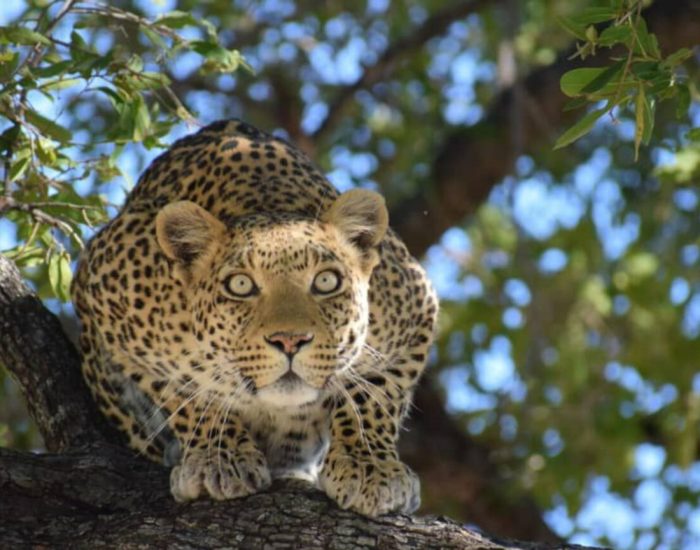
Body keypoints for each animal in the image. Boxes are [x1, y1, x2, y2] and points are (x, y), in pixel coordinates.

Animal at [71, 119, 438, 517]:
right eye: (241, 285)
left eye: (326, 281)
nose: (290, 340)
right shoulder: (100, 292)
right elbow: (190, 391)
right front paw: (219, 459)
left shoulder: (417, 307)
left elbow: (375, 395)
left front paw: (369, 467)